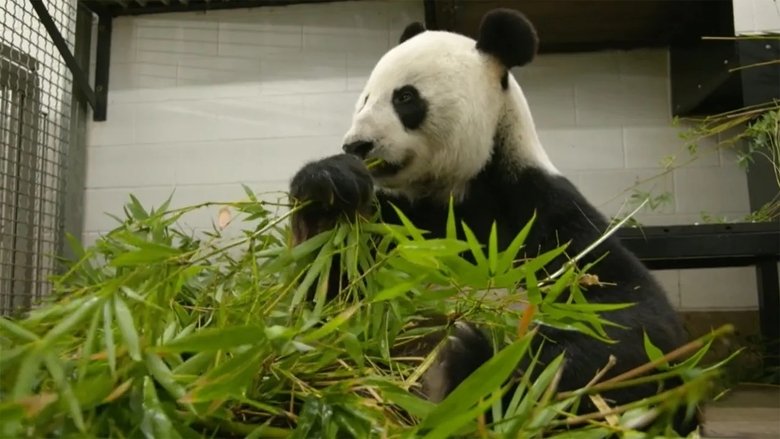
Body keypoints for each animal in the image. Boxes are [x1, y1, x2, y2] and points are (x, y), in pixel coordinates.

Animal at [289, 8, 694, 434]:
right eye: (365, 99)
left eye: (405, 97)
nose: (357, 145)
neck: (454, 191)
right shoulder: (396, 224)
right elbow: (327, 308)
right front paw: (328, 188)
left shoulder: (540, 208)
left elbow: (632, 319)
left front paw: (480, 361)